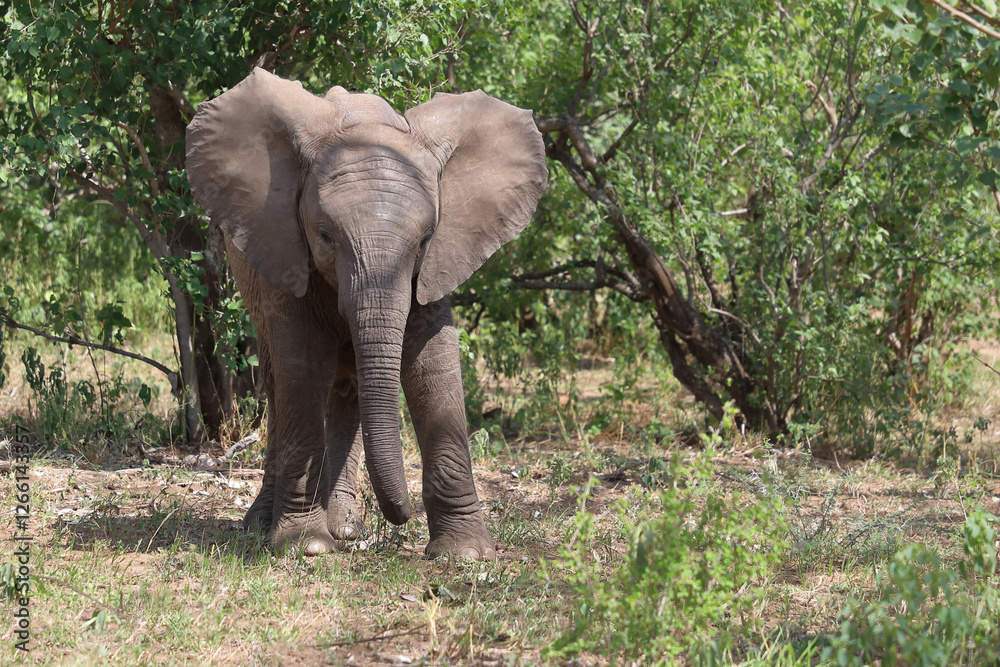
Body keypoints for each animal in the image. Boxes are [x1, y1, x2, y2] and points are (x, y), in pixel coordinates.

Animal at [185, 68, 547, 560]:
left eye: (425, 239)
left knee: (348, 389)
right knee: (281, 384)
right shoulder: (286, 248)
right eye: (324, 236)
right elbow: (301, 365)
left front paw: (464, 554)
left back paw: (344, 527)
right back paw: (266, 524)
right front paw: (305, 548)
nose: (403, 514)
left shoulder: (435, 265)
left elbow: (434, 365)